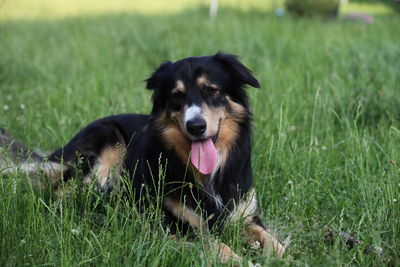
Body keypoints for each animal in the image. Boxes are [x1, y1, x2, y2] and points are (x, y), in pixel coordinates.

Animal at [0, 53, 288, 264]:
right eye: (176, 95)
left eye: (211, 90)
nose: (196, 126)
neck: (209, 175)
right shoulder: (172, 226)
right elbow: (217, 245)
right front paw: (244, 261)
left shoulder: (246, 216)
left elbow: (274, 244)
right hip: (108, 143)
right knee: (63, 195)